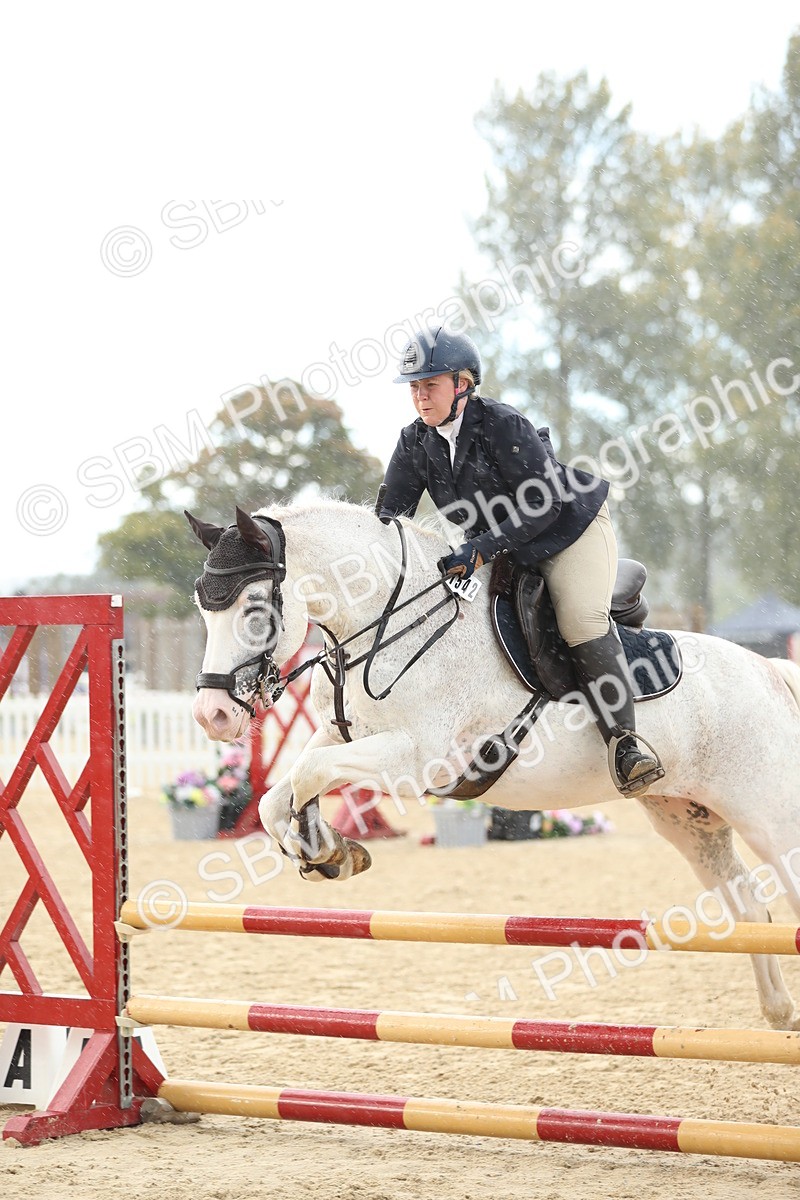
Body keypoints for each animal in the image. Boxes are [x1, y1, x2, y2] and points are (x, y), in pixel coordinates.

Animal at [188, 500, 800, 1031]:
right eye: (202, 608)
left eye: (254, 609)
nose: (212, 716)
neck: (394, 624)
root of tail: (771, 671)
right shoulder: (340, 736)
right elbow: (281, 796)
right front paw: (327, 851)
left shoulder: (417, 760)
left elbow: (308, 776)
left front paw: (325, 847)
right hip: (688, 819)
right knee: (750, 908)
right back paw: (778, 1015)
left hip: (768, 816)